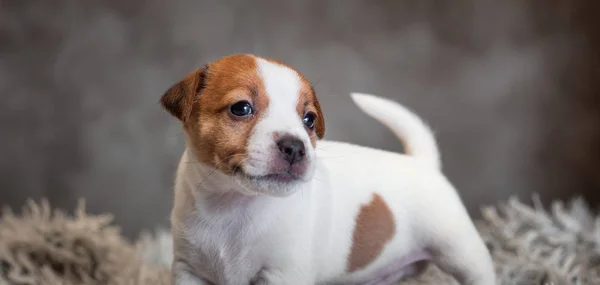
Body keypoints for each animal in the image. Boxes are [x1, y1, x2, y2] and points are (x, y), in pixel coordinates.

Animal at [162, 53, 494, 284]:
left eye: (308, 119)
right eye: (241, 108)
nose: (295, 147)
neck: (232, 204)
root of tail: (421, 161)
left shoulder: (282, 273)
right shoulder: (189, 270)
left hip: (459, 250)